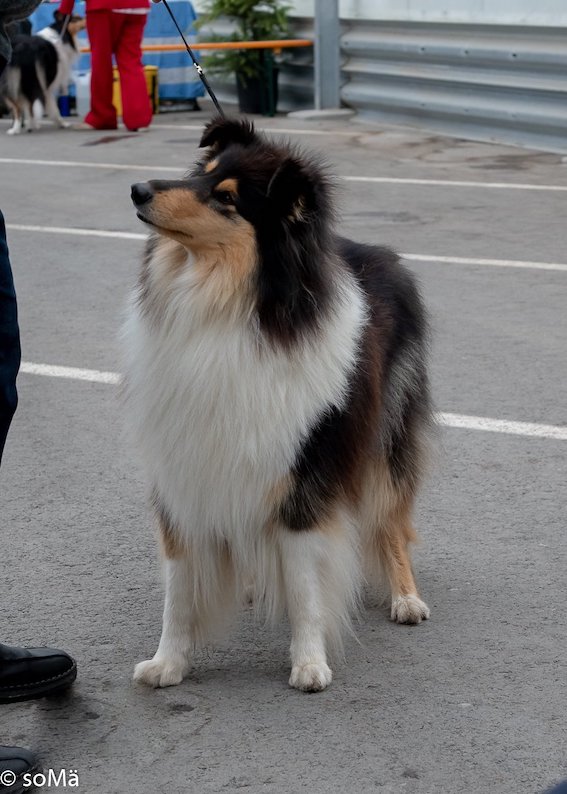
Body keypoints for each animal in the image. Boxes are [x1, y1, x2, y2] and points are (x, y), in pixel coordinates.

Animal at [123, 118, 433, 692]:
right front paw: (168, 663)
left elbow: (307, 585)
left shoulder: (303, 478)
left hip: (386, 442)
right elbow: (179, 587)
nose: (137, 190)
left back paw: (406, 598)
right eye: (199, 173)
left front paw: (309, 664)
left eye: (227, 198)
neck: (228, 308)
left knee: (390, 522)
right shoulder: (183, 473)